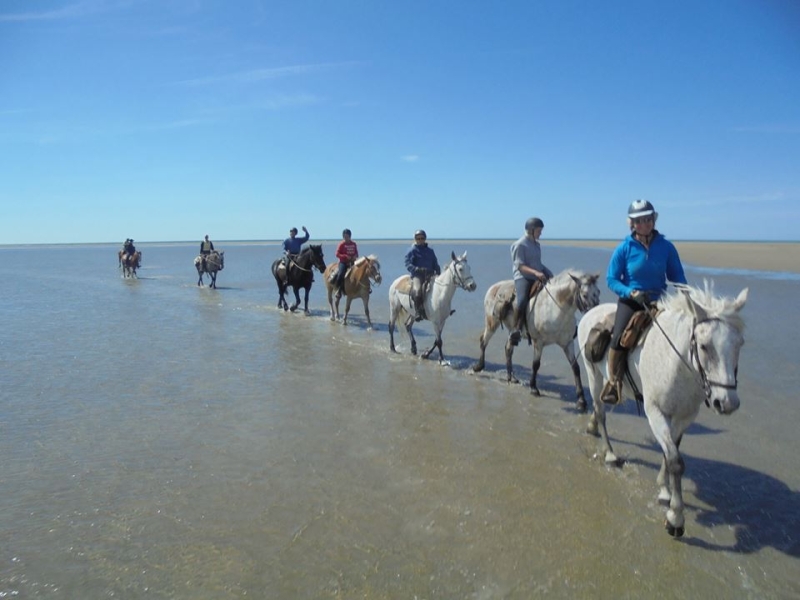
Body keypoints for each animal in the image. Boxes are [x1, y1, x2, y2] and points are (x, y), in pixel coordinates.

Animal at [468, 272, 600, 412]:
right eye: (584, 294)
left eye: (598, 292)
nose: (596, 316)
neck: (555, 308)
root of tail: (493, 287)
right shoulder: (539, 342)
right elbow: (536, 365)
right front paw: (533, 388)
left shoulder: (567, 344)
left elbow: (575, 368)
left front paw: (581, 400)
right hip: (492, 323)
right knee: (483, 341)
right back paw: (478, 367)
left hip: (512, 331)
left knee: (508, 349)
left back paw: (512, 378)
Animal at [580, 282, 748, 540]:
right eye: (704, 346)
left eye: (739, 344)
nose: (727, 402)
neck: (677, 365)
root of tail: (591, 312)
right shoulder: (655, 413)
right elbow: (676, 461)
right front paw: (675, 518)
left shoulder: (683, 417)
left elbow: (670, 454)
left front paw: (664, 490)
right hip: (593, 374)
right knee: (600, 411)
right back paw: (609, 454)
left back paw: (592, 427)